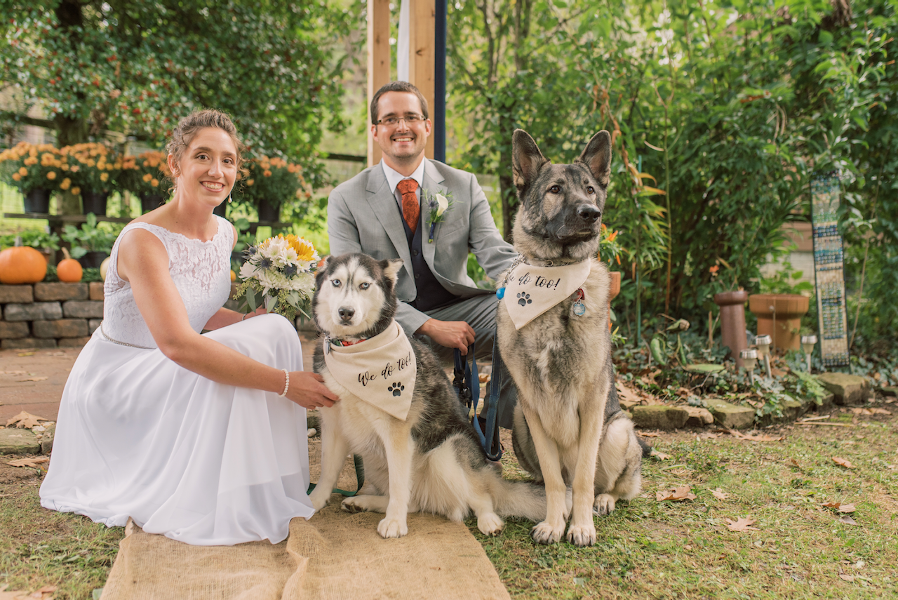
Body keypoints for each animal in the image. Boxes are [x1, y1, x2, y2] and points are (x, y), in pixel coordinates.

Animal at [308, 253, 544, 540]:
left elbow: (399, 484)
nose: (345, 312)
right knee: (411, 501)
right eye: (336, 282)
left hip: (446, 453)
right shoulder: (333, 423)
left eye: (365, 285)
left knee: (480, 497)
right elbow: (328, 471)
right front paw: (313, 501)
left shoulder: (397, 432)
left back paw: (489, 520)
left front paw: (395, 523)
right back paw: (363, 501)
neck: (355, 349)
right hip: (371, 460)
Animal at [494, 129, 648, 548]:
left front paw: (580, 526)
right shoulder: (531, 405)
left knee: (614, 486)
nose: (590, 214)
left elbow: (582, 478)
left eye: (590, 189)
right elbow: (552, 479)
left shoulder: (592, 402)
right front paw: (554, 521)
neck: (554, 278)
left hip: (618, 430)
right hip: (520, 423)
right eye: (555, 189)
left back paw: (603, 502)